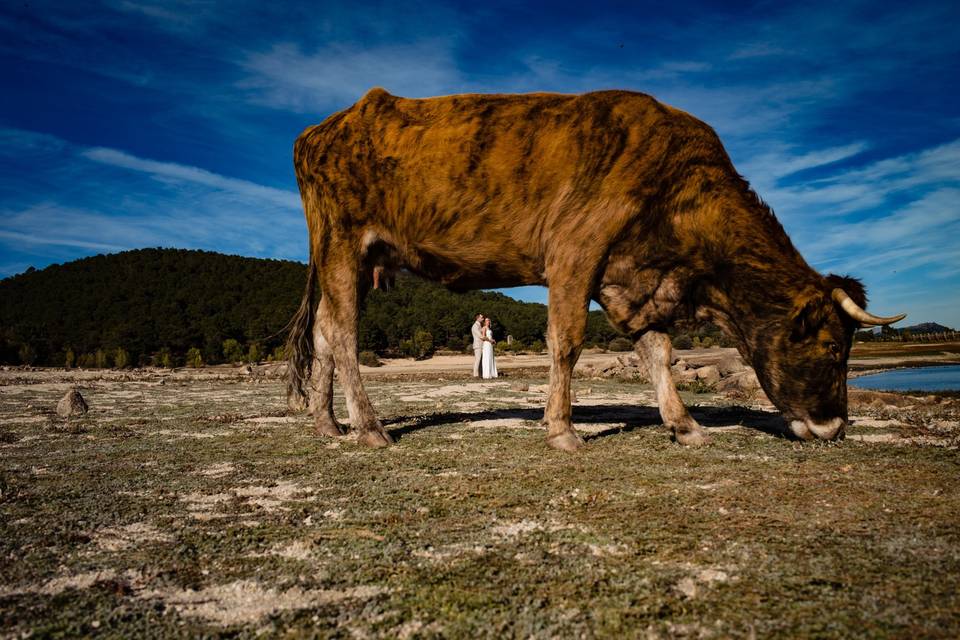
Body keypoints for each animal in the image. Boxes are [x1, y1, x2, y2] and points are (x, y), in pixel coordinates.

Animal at [284, 87, 908, 452]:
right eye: (834, 347)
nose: (836, 426)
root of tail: (322, 129)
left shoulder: (629, 280)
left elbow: (658, 353)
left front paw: (685, 425)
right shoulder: (574, 251)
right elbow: (567, 342)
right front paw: (562, 431)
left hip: (358, 256)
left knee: (323, 333)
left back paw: (326, 425)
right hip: (342, 241)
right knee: (343, 334)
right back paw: (369, 429)